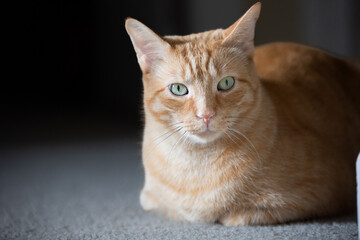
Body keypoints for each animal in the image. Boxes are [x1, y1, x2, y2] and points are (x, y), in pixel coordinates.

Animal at [124, 2, 360, 225]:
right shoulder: (150, 201)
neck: (197, 165)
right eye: (179, 89)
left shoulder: (329, 190)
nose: (206, 114)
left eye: (226, 83)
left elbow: (242, 215)